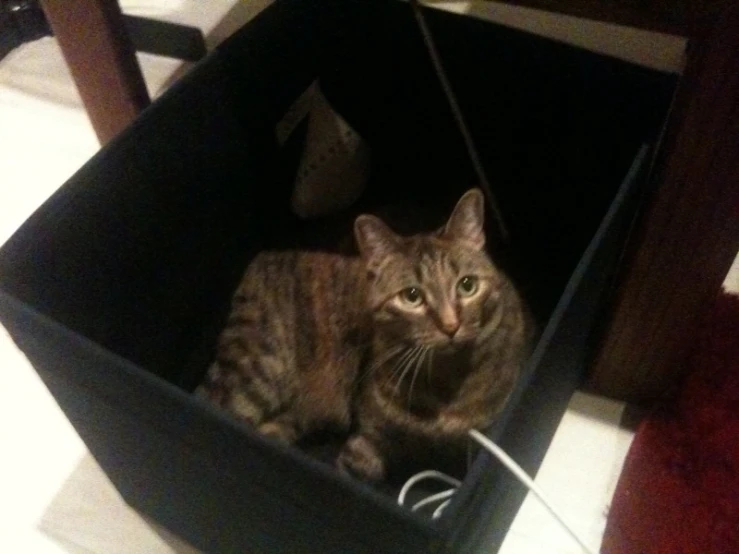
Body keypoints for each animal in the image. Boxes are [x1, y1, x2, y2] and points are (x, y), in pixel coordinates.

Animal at [197, 187, 532, 478]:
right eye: (412, 296)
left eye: (467, 285)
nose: (450, 325)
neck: (445, 386)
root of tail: (262, 257)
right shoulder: (367, 441)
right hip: (257, 370)